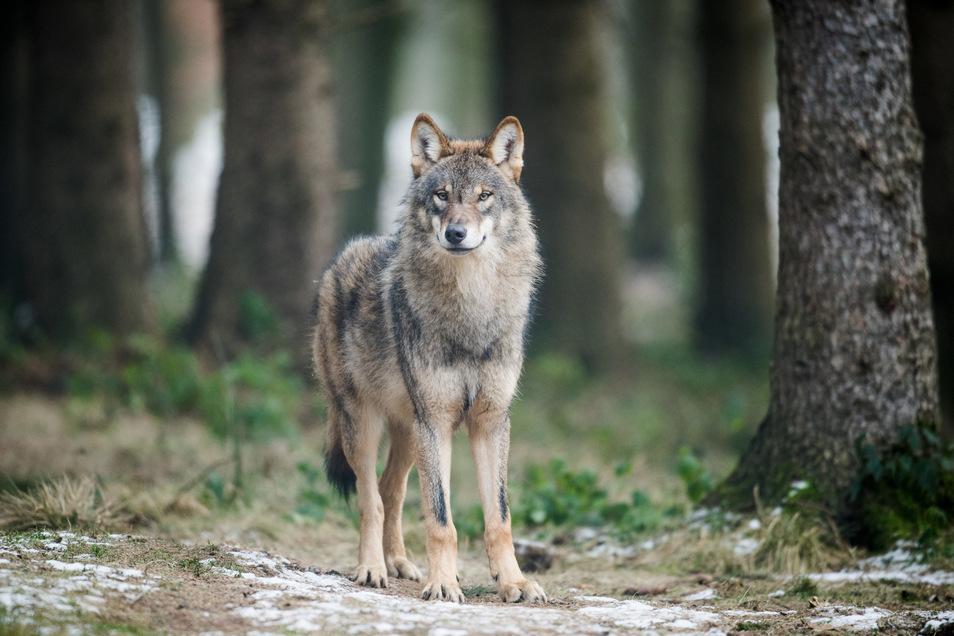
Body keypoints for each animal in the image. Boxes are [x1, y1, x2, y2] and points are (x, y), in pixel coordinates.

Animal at [310, 112, 544, 604]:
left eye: (483, 196)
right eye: (442, 196)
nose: (456, 233)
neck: (471, 308)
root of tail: (339, 259)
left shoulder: (491, 422)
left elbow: (500, 517)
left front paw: (512, 582)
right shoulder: (435, 421)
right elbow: (441, 519)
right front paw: (443, 584)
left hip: (407, 432)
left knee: (391, 490)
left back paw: (399, 562)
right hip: (365, 424)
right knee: (370, 498)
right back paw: (372, 568)